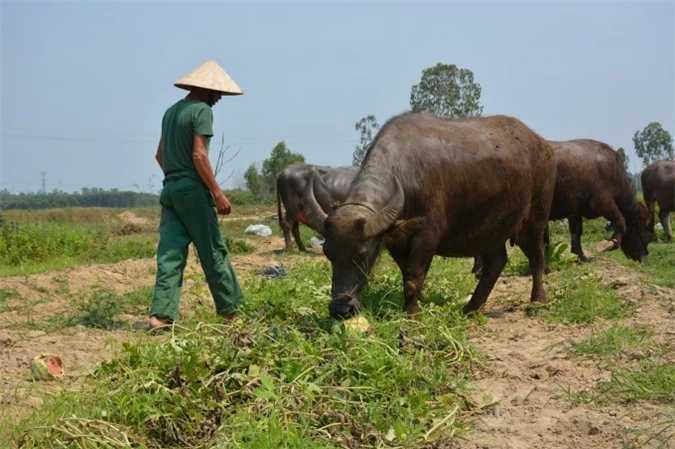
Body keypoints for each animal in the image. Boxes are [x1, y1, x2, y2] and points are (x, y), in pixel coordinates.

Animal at [304, 112, 556, 318]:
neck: (404, 173)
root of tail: (542, 145)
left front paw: (410, 313)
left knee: (536, 258)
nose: (340, 308)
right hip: (491, 228)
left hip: (535, 218)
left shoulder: (427, 235)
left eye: (362, 255)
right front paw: (419, 303)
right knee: (497, 261)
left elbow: (413, 277)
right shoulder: (396, 240)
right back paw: (472, 307)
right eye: (328, 254)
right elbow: (406, 273)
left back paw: (538, 301)